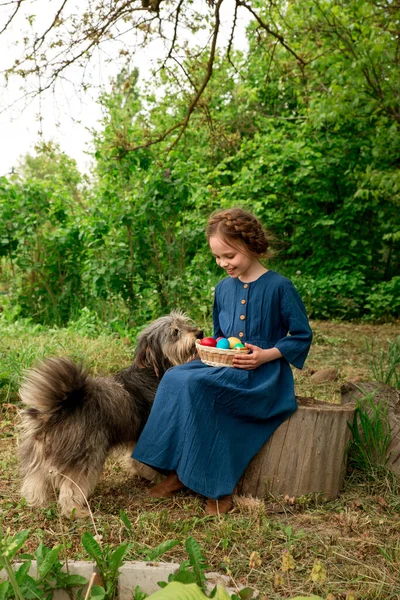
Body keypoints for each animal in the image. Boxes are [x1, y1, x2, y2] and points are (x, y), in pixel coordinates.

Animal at [18, 314, 202, 516]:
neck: (152, 372)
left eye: (185, 322)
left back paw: (38, 503)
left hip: (38, 455)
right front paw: (158, 478)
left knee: (34, 481)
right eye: (175, 331)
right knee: (71, 488)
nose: (200, 333)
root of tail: (61, 407)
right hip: (87, 455)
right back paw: (76, 511)